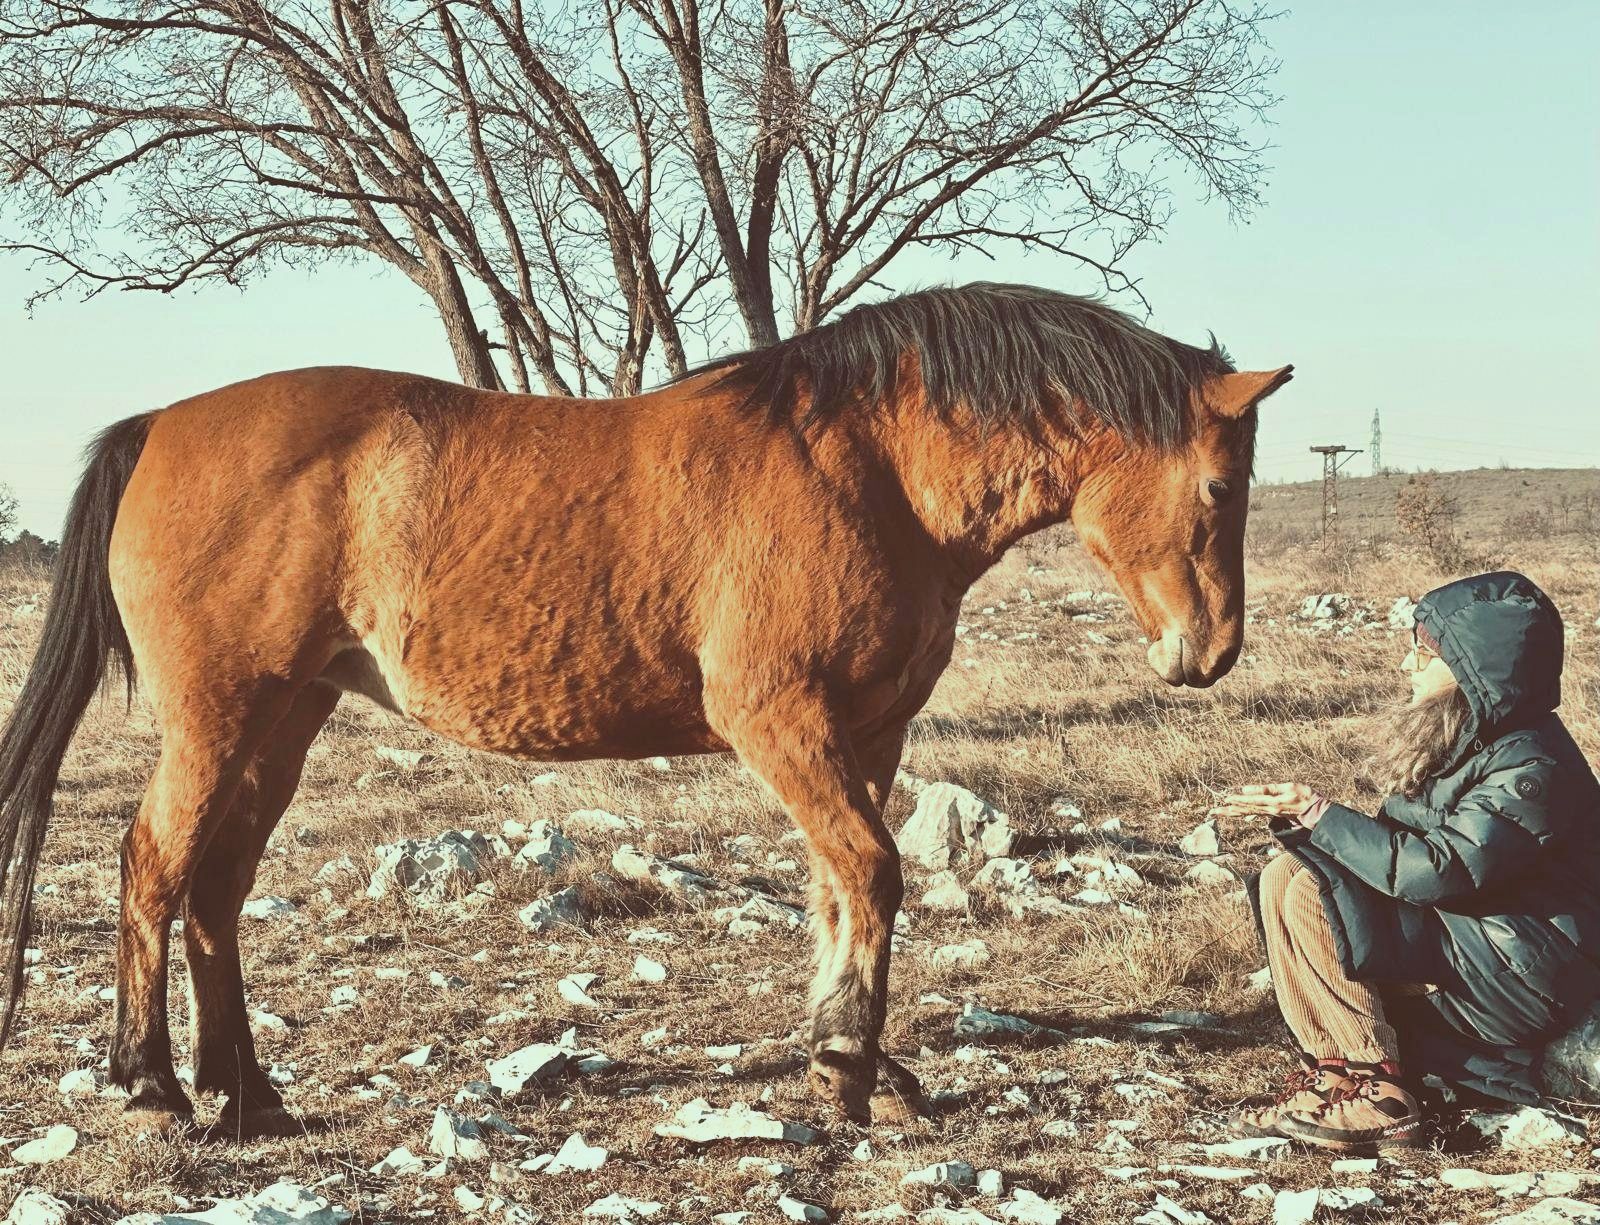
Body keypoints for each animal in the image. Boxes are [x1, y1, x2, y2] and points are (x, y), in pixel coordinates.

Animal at [0, 283, 1291, 1128]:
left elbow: (838, 884)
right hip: (220, 717)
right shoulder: (781, 723)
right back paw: (153, 1085)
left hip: (286, 719)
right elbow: (872, 873)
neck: (863, 466)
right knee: (152, 865)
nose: (1210, 652)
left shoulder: (866, 734)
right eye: (1219, 484)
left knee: (216, 887)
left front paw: (849, 1063)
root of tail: (159, 425)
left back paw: (249, 1089)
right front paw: (849, 1065)